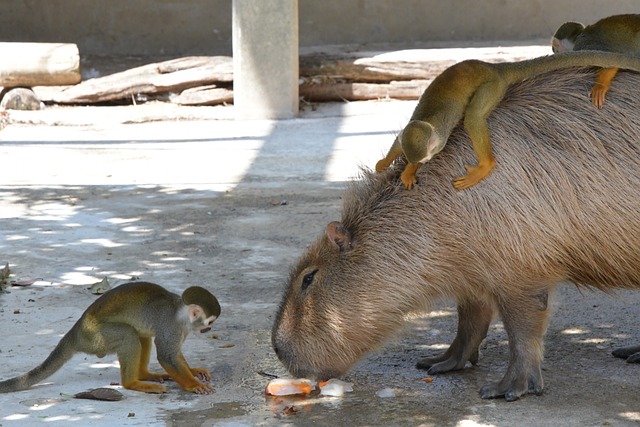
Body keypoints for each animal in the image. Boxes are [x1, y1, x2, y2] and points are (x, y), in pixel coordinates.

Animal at [0, 281, 221, 394]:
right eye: (209, 321)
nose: (209, 329)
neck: (181, 315)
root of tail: (76, 331)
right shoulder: (170, 325)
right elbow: (167, 355)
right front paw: (194, 385)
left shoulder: (183, 329)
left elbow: (174, 354)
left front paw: (193, 371)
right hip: (96, 338)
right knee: (129, 334)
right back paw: (132, 383)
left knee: (140, 334)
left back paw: (143, 375)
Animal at [375, 51, 640, 190]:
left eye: (425, 159)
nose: (414, 162)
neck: (425, 121)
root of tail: (495, 69)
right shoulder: (408, 129)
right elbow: (398, 144)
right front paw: (386, 162)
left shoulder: (438, 141)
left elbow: (434, 151)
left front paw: (410, 170)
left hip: (493, 86)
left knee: (473, 117)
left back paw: (486, 165)